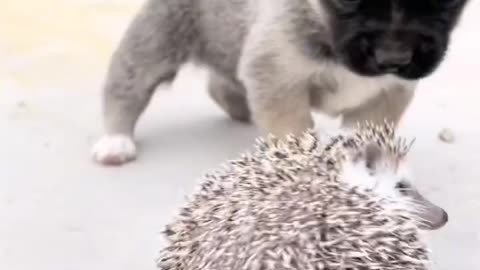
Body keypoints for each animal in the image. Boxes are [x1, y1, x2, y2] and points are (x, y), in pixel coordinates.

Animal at [91, 0, 468, 165]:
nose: (394, 59)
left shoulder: (390, 94)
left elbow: (366, 129)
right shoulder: (276, 74)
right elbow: (294, 130)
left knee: (221, 84)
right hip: (156, 38)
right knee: (126, 86)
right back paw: (115, 140)